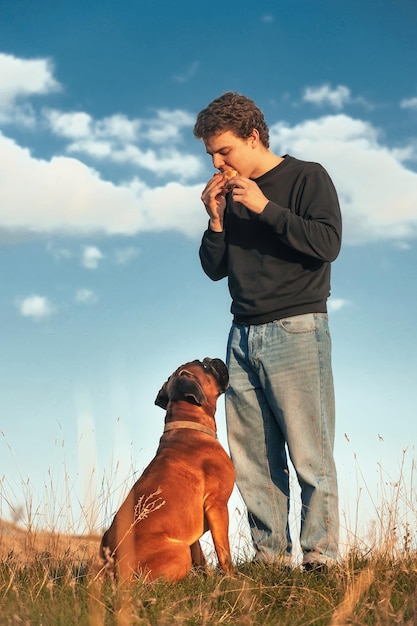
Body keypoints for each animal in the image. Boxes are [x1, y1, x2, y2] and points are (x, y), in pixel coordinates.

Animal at [98, 358, 234, 584]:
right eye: (205, 366)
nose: (213, 359)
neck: (189, 424)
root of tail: (115, 566)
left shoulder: (192, 533)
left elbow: (201, 558)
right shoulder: (218, 505)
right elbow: (224, 553)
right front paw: (233, 580)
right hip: (179, 551)